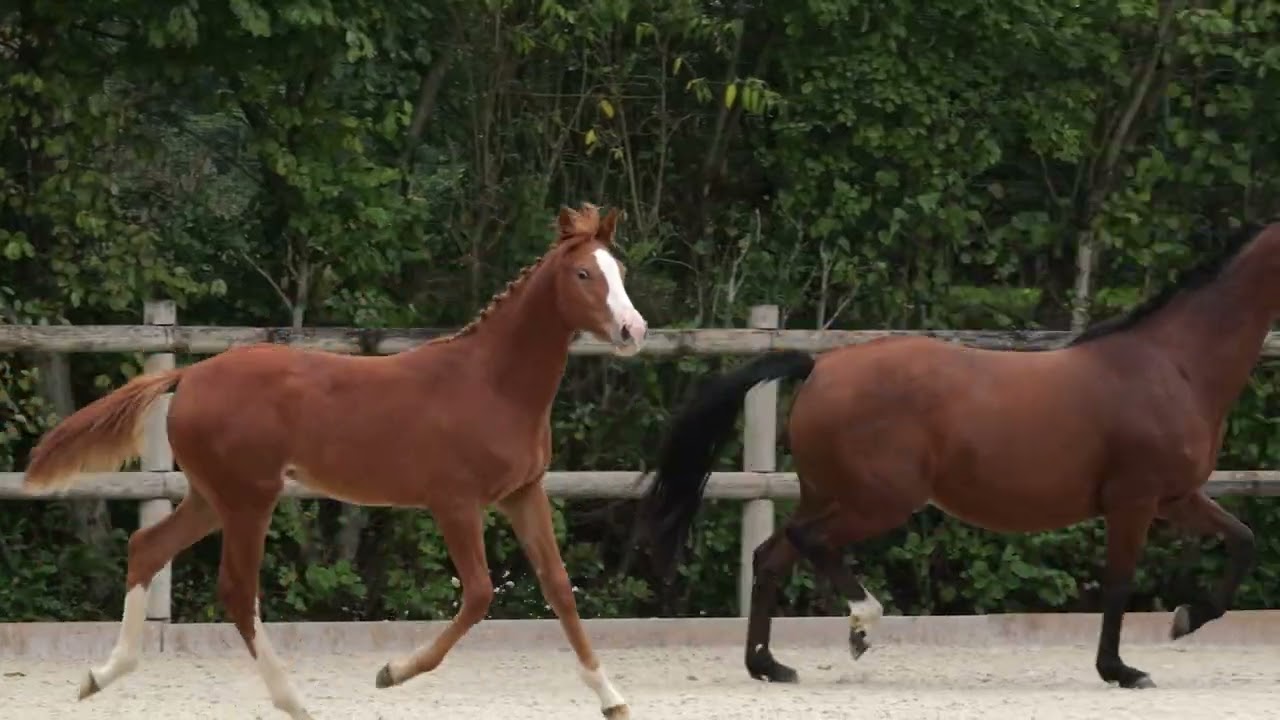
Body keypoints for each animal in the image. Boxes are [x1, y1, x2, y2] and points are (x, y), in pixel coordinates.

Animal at [22, 203, 647, 719]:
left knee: (147, 548)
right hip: (249, 499)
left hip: (209, 496)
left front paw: (613, 698)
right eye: (583, 274)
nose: (633, 329)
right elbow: (478, 595)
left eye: (619, 270)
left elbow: (559, 587)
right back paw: (294, 701)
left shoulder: (524, 493)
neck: (491, 385)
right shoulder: (455, 503)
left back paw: (101, 675)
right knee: (236, 590)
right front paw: (392, 672)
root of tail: (190, 374)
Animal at [635, 218, 1280, 690]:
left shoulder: (1176, 497)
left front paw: (1185, 620)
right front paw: (1121, 670)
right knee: (808, 543)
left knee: (772, 555)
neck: (1173, 365)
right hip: (881, 500)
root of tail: (820, 365)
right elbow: (1120, 582)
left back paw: (769, 666)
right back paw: (862, 625)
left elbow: (1244, 540)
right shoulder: (1134, 500)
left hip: (828, 493)